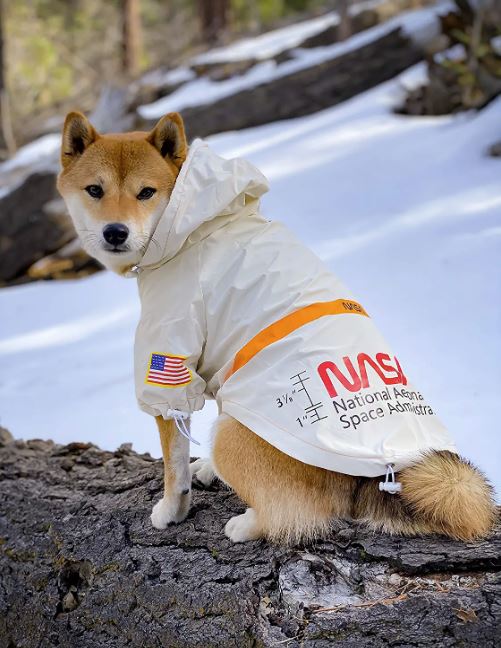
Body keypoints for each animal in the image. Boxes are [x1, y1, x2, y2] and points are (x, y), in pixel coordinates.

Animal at [56, 110, 494, 540]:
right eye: (94, 190)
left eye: (146, 193)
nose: (116, 232)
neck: (194, 225)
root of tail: (373, 475)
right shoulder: (221, 370)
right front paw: (206, 470)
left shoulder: (169, 362)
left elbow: (173, 466)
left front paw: (172, 510)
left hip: (232, 435)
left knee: (296, 515)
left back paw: (247, 524)